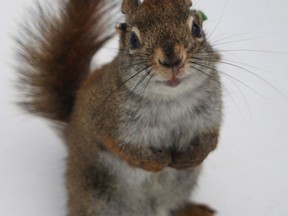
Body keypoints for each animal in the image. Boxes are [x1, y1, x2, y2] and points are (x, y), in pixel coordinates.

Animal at [15, 0, 223, 216]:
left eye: (196, 28)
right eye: (133, 40)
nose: (172, 61)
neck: (170, 99)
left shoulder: (210, 116)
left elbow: (211, 138)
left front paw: (191, 157)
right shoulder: (106, 120)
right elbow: (121, 148)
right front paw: (158, 161)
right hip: (95, 198)